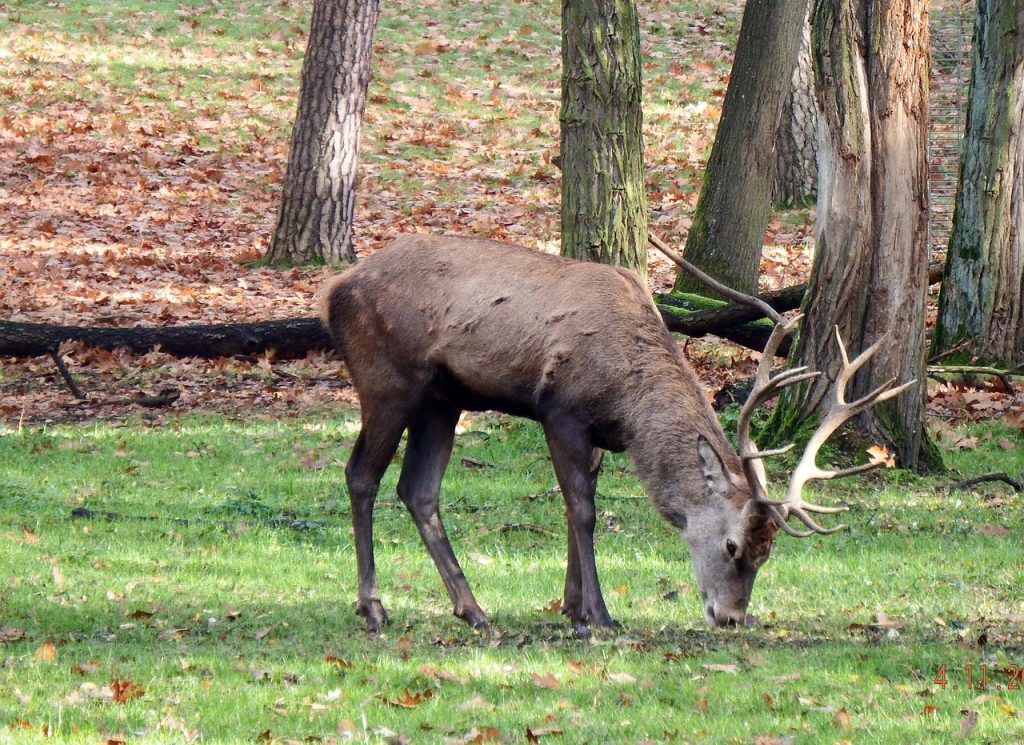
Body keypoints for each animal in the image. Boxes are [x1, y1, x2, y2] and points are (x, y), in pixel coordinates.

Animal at [319, 235, 913, 630]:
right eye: (733, 545)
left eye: (767, 555)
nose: (730, 617)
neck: (628, 405)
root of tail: (332, 292)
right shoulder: (560, 411)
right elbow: (582, 509)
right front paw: (600, 616)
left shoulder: (599, 437)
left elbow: (573, 509)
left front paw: (571, 607)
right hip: (387, 380)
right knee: (361, 475)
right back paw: (373, 607)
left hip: (444, 400)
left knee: (418, 489)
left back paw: (473, 610)